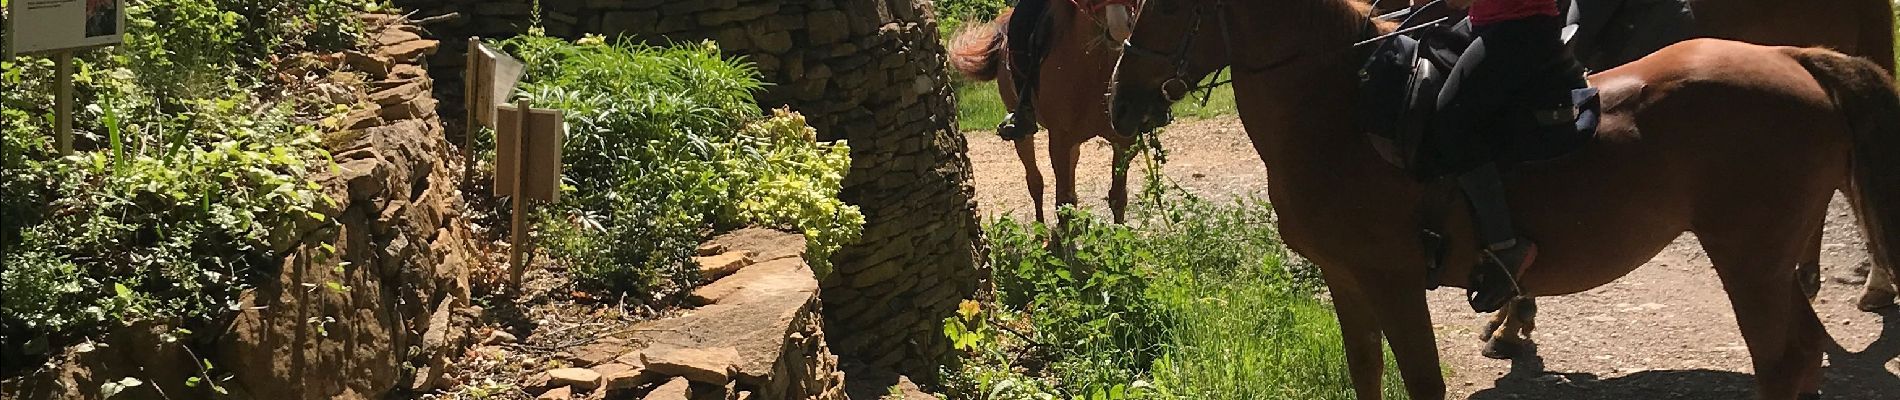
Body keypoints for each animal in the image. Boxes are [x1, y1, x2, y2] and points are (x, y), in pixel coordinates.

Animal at [957, 1, 1132, 223]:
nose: (1119, 27)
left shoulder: (1122, 142)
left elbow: (1117, 197)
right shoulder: (1059, 142)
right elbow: (1064, 204)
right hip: (1022, 132)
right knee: (1035, 182)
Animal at [1109, 0, 1900, 396]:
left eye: (1166, 9)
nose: (1120, 104)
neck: (1340, 109)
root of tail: (1795, 59)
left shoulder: (1394, 282)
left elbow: (1422, 382)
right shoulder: (1345, 279)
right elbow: (1367, 372)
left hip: (1749, 260)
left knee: (1782, 362)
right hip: (1762, 261)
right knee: (1800, 356)